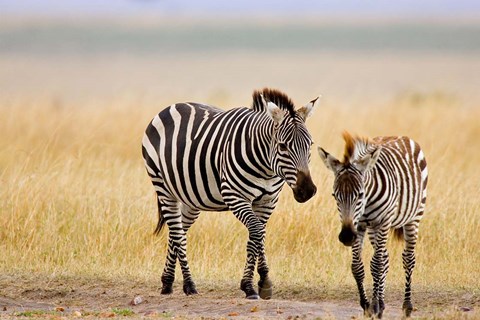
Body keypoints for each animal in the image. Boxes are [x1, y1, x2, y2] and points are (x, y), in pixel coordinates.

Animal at [142, 88, 318, 300]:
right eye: (282, 146)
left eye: (310, 144)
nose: (307, 191)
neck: (266, 168)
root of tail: (172, 106)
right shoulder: (235, 196)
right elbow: (256, 233)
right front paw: (249, 286)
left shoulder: (268, 201)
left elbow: (259, 236)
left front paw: (263, 281)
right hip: (163, 188)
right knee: (177, 233)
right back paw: (189, 284)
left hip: (191, 199)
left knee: (178, 232)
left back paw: (167, 282)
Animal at [318, 131, 428, 318]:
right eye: (334, 195)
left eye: (360, 194)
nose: (346, 236)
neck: (367, 202)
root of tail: (400, 136)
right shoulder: (359, 225)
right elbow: (358, 266)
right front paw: (367, 305)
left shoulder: (383, 221)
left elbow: (377, 265)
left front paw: (374, 305)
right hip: (372, 229)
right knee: (385, 257)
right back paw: (382, 303)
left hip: (413, 216)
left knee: (407, 259)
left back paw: (407, 306)